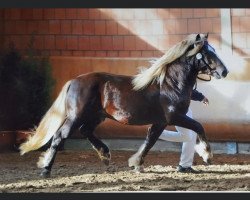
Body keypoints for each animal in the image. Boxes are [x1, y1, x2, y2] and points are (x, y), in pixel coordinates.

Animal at [19, 33, 229, 177]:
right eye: (207, 52)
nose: (224, 71)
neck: (170, 83)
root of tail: (74, 81)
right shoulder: (174, 117)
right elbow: (198, 126)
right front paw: (207, 155)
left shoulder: (161, 122)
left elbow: (150, 140)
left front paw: (137, 164)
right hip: (75, 116)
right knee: (59, 136)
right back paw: (46, 169)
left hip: (96, 116)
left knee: (85, 131)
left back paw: (105, 156)